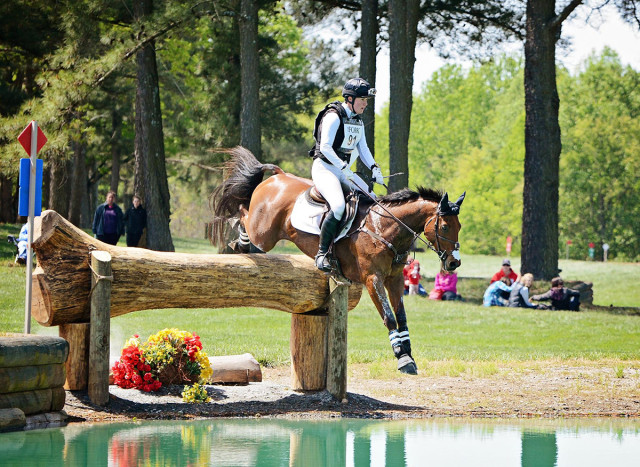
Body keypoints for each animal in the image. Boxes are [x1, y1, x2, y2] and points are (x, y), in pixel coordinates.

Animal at [211, 148, 464, 374]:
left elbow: (401, 317)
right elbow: (389, 317)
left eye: (459, 226)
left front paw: (408, 354)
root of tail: (279, 177)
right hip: (263, 233)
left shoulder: (394, 279)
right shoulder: (373, 279)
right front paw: (402, 359)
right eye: (444, 227)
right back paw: (238, 240)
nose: (454, 263)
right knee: (242, 213)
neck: (384, 228)